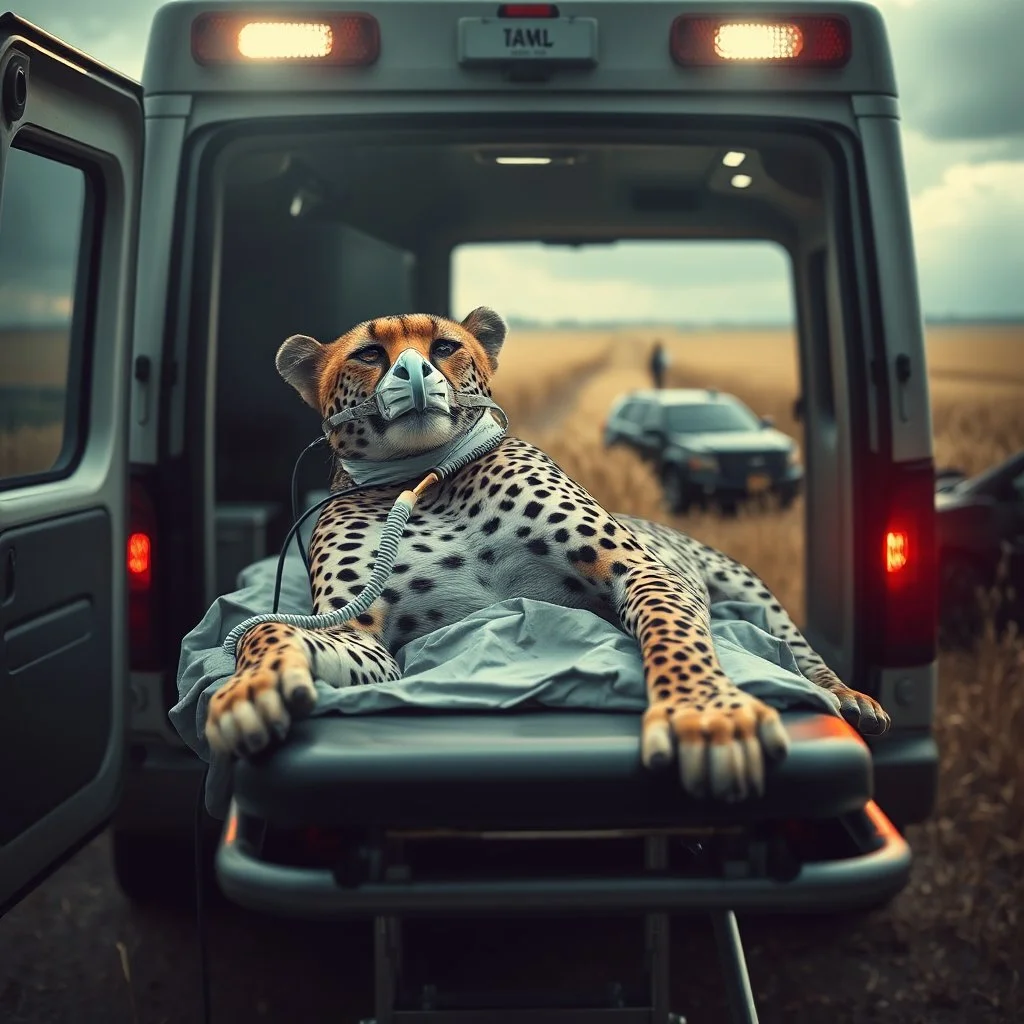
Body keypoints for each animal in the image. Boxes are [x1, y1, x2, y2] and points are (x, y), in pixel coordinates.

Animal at [205, 307, 888, 802]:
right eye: (370, 353)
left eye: (445, 346)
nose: (414, 372)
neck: (426, 481)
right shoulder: (364, 638)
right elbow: (266, 630)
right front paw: (252, 686)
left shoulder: (642, 571)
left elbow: (674, 637)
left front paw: (705, 713)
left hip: (742, 583)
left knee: (797, 647)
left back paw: (850, 698)